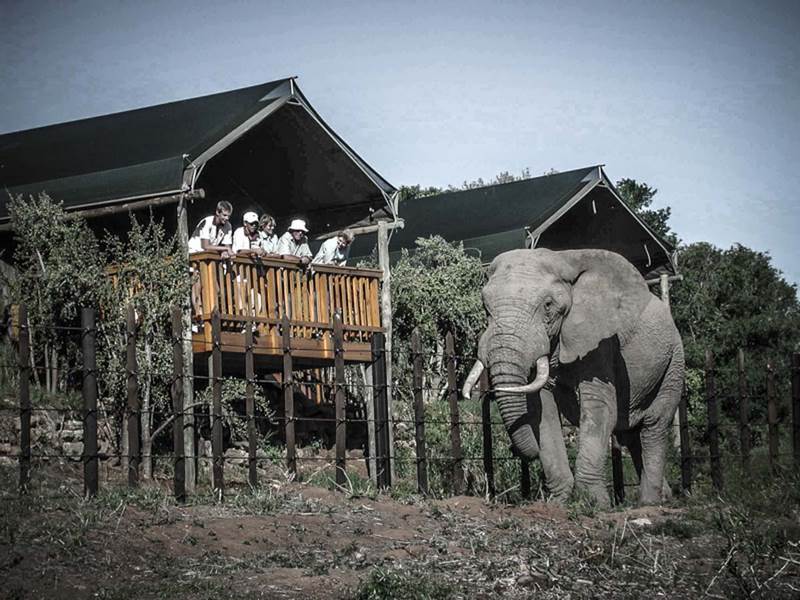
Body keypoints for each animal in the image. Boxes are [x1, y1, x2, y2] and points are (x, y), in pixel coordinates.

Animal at [462, 248, 680, 506]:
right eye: (485, 307)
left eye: (548, 305)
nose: (513, 451)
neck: (563, 259)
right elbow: (542, 410)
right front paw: (559, 503)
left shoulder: (599, 339)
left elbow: (598, 408)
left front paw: (594, 504)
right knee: (631, 434)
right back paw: (663, 496)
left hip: (673, 360)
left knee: (654, 425)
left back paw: (649, 502)